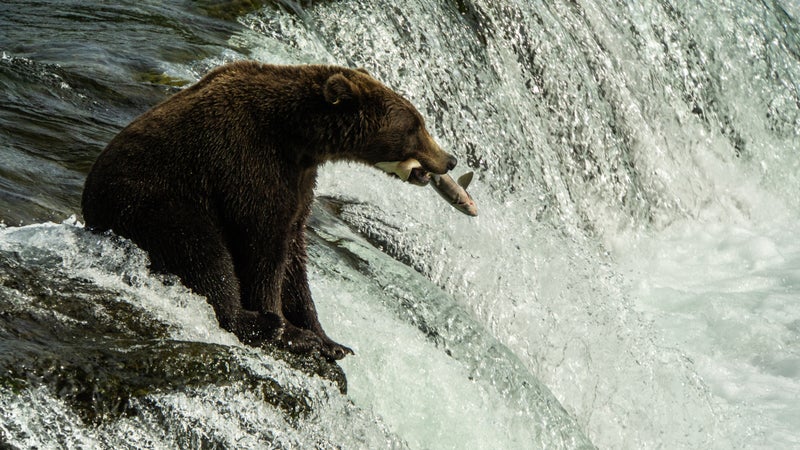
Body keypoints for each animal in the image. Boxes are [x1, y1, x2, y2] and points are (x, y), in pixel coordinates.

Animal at [83, 61, 456, 360]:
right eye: (414, 127)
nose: (449, 159)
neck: (298, 136)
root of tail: (89, 207)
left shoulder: (300, 180)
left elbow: (293, 254)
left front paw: (329, 340)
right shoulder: (248, 162)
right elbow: (263, 245)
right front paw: (289, 329)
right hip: (158, 203)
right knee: (202, 255)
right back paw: (256, 323)